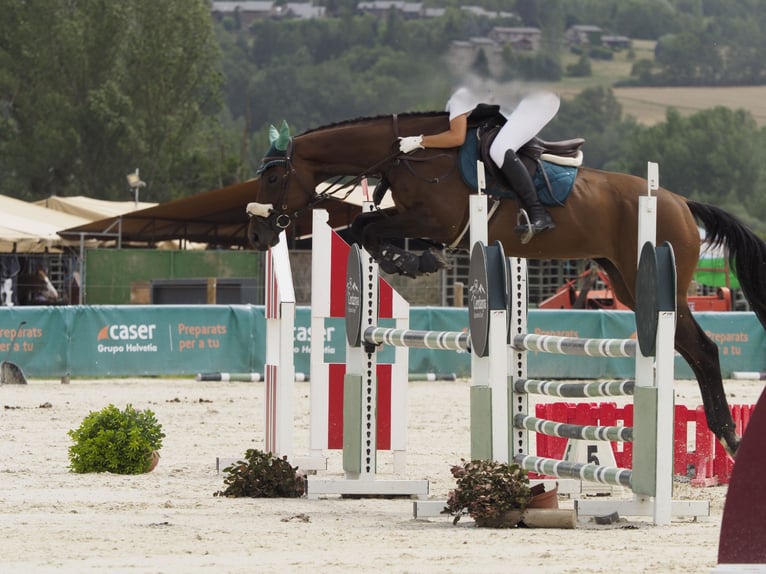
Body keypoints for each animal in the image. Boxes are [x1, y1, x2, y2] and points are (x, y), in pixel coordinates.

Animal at [246, 111, 766, 460]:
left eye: (273, 177)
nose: (256, 234)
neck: (412, 158)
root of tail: (679, 202)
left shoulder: (434, 219)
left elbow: (367, 227)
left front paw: (411, 258)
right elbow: (363, 228)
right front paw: (410, 257)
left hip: (654, 284)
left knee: (703, 349)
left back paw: (729, 436)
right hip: (627, 283)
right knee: (696, 349)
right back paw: (729, 436)